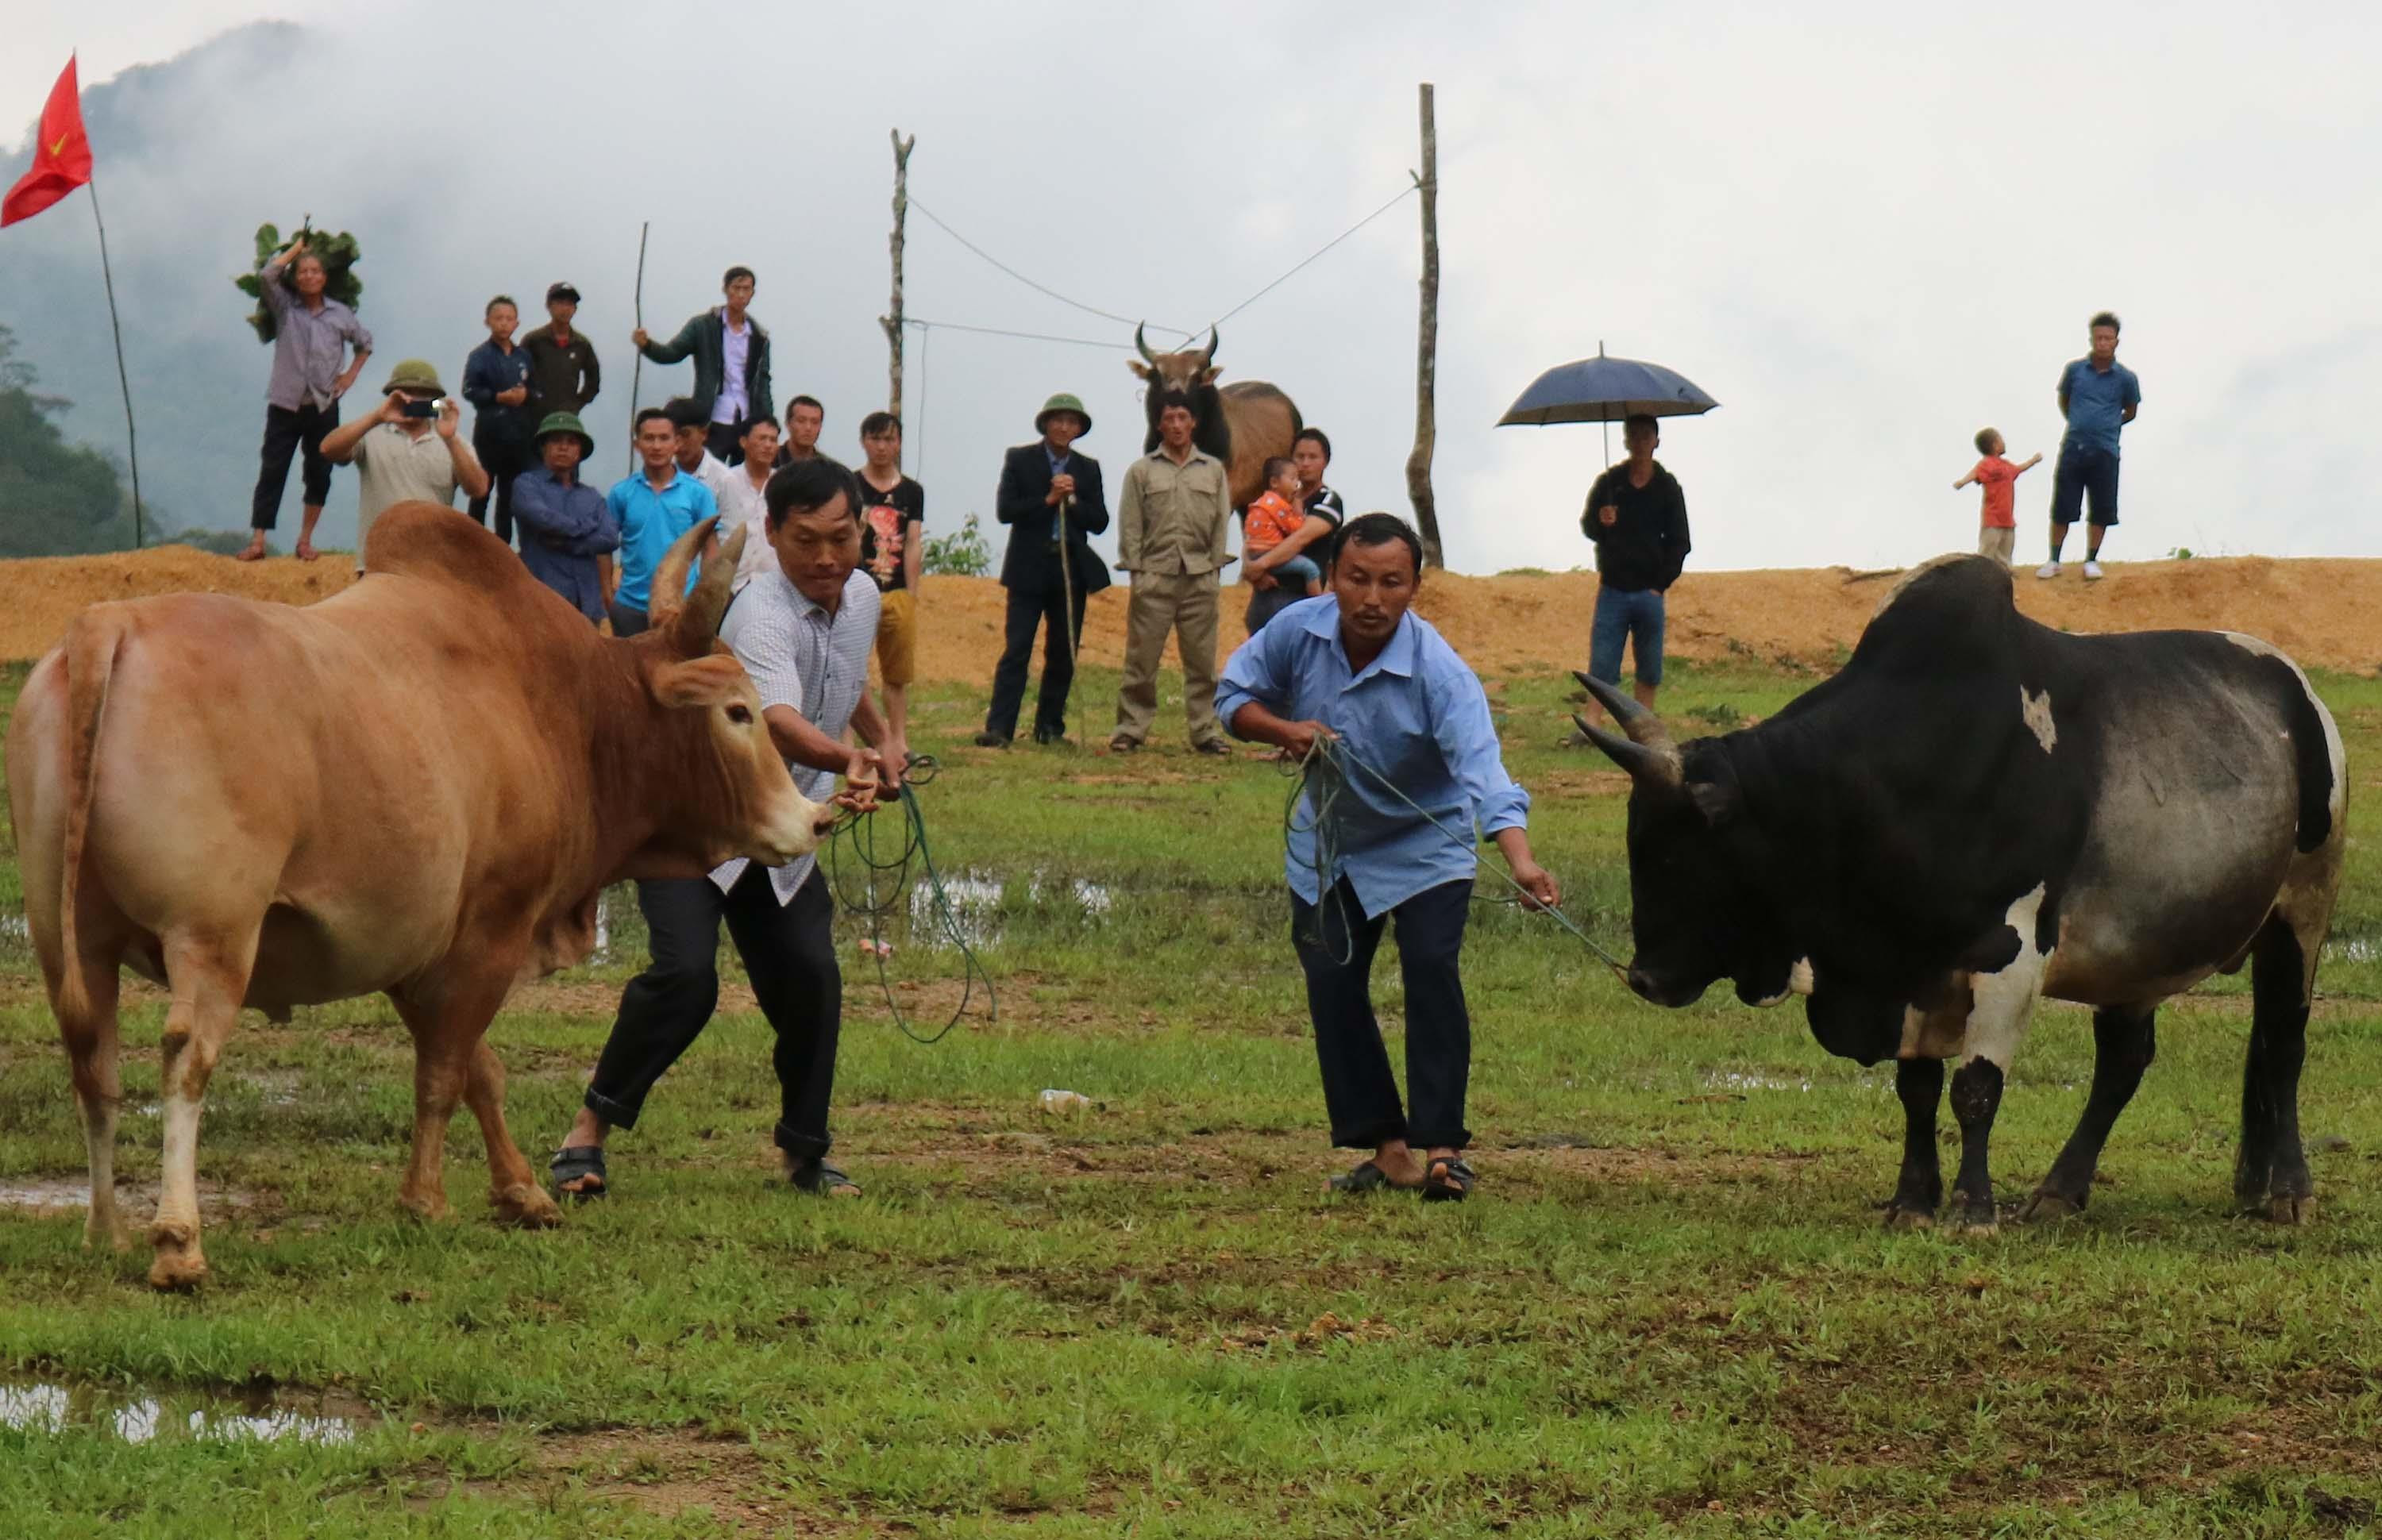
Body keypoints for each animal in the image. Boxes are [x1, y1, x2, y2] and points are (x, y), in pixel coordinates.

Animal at [4, 509, 834, 1285]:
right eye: (738, 711)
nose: (813, 820)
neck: (562, 701)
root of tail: (108, 624)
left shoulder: (416, 952)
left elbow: (478, 1071)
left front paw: (521, 1192)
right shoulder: (492, 930)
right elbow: (443, 1073)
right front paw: (426, 1201)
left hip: (68, 939)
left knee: (93, 1062)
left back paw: (105, 1230)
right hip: (212, 938)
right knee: (185, 1059)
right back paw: (178, 1242)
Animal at [1582, 559, 2344, 1238]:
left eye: (1677, 850)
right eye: (1637, 840)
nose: (1644, 977)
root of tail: (2299, 689)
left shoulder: (2010, 956)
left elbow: (1975, 1090)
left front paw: (1974, 1211)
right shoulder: (1911, 971)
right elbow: (1917, 1092)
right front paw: (1912, 1202)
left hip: (2303, 910)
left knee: (2283, 1044)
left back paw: (2289, 1192)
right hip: (2139, 956)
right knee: (2124, 1064)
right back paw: (2062, 1192)